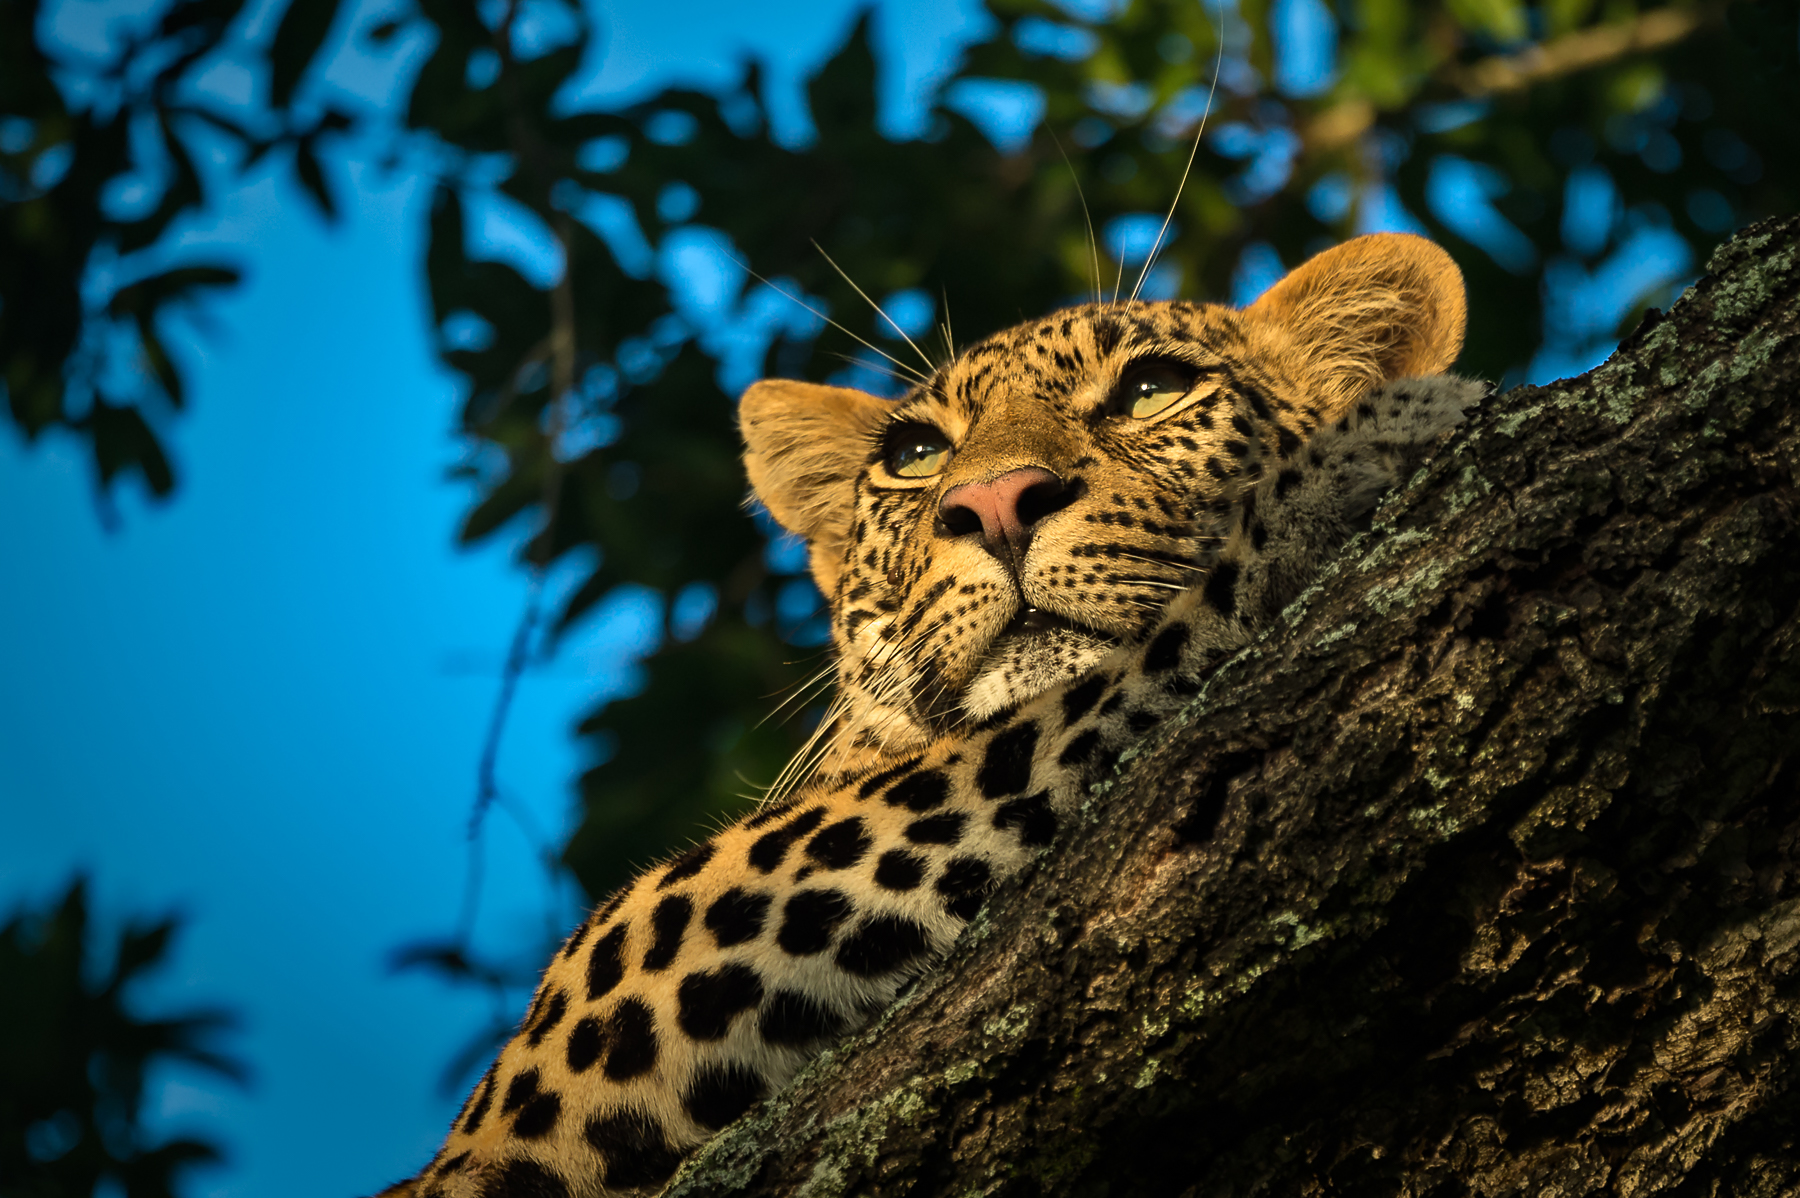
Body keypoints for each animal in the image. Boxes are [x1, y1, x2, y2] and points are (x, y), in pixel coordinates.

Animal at [373, 232, 1486, 1198]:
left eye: (1153, 391)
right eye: (914, 453)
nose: (995, 505)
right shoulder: (631, 951)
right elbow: (1091, 682)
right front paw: (1349, 454)